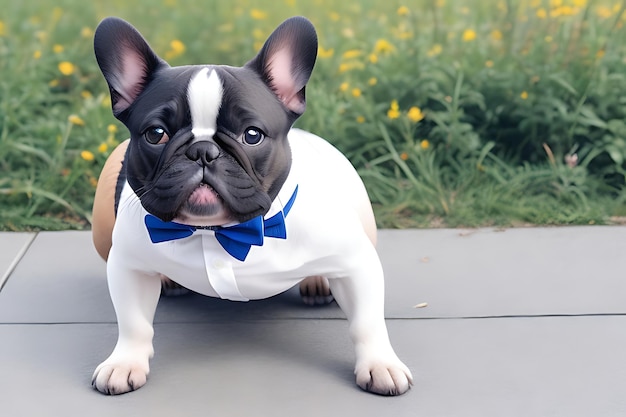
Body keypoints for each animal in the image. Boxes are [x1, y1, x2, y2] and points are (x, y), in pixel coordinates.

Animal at [89, 14, 410, 394]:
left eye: (252, 135)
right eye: (156, 134)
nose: (203, 150)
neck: (217, 231)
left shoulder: (358, 263)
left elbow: (367, 322)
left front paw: (380, 364)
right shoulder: (128, 267)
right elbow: (133, 323)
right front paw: (124, 363)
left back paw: (316, 280)